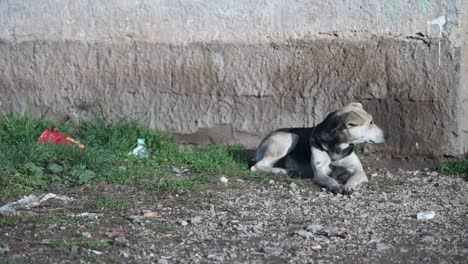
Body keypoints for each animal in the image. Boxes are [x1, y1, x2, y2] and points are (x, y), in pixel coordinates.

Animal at [249, 102, 384, 195]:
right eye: (371, 123)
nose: (386, 134)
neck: (338, 146)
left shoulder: (358, 171)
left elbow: (353, 177)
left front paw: (349, 185)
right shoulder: (320, 172)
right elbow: (329, 178)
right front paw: (335, 185)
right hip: (290, 137)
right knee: (256, 167)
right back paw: (283, 171)